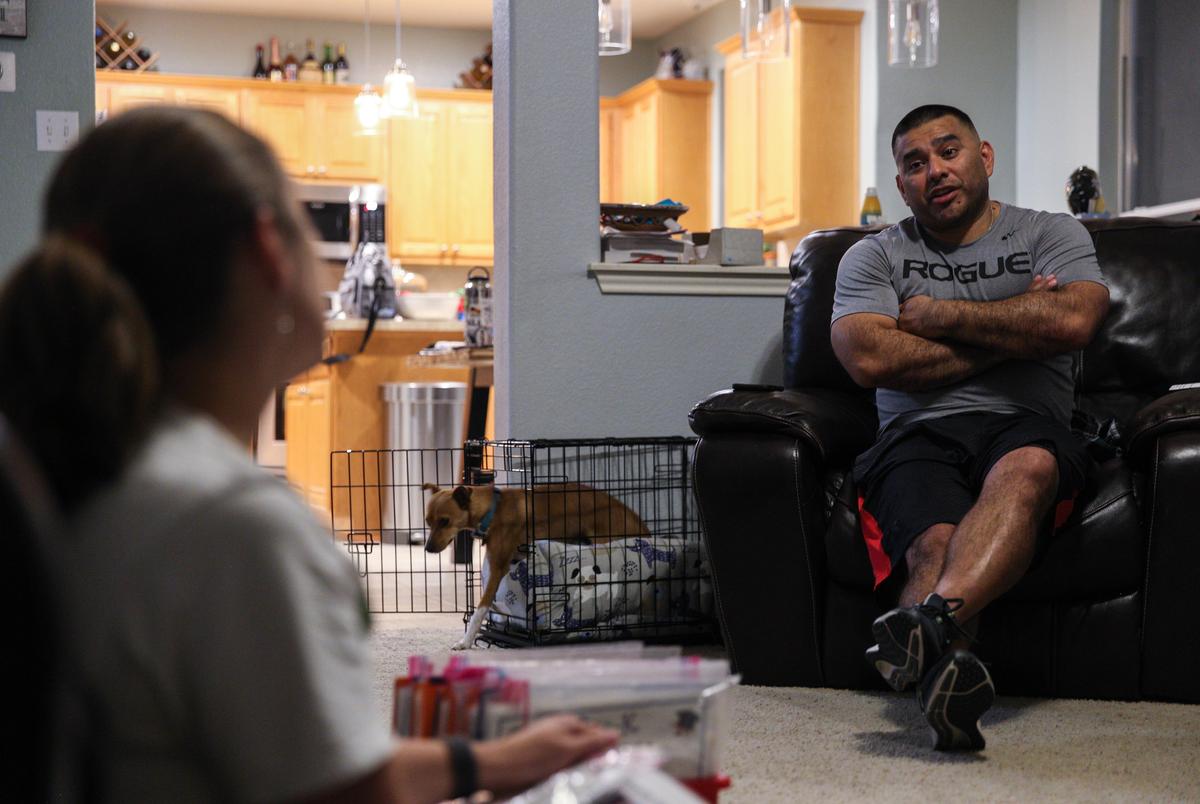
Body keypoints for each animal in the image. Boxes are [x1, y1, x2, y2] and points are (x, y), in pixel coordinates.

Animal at [420, 482, 648, 652]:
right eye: (428, 521)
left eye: (445, 521)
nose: (428, 548)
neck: (493, 510)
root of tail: (637, 520)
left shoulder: (498, 568)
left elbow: (481, 608)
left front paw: (465, 642)